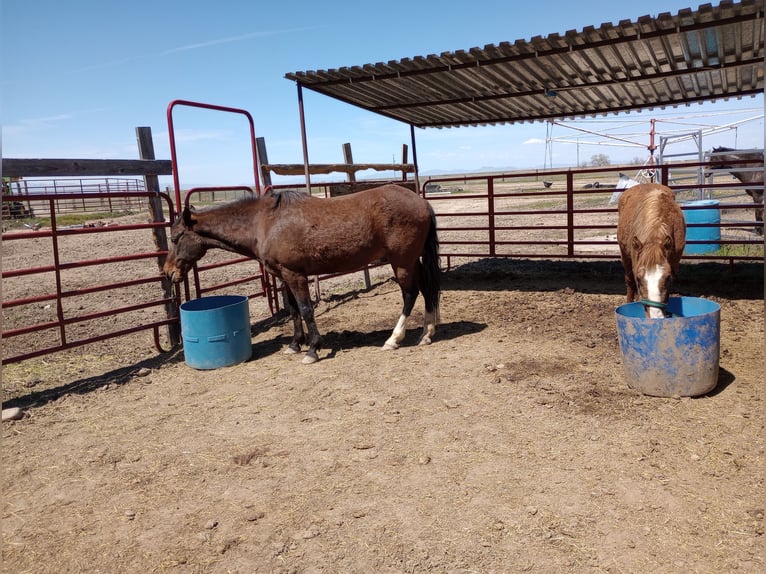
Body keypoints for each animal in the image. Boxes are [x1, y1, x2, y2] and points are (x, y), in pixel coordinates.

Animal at [166, 184, 444, 364]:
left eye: (175, 237)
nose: (168, 272)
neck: (264, 223)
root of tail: (422, 202)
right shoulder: (283, 276)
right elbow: (293, 311)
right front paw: (294, 345)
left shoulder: (295, 275)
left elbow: (306, 309)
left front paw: (312, 349)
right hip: (412, 262)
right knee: (427, 289)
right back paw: (426, 334)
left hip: (402, 263)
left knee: (410, 294)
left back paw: (394, 339)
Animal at [616, 184, 688, 320]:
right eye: (639, 279)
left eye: (668, 278)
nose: (656, 316)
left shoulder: (674, 264)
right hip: (625, 257)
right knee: (629, 283)